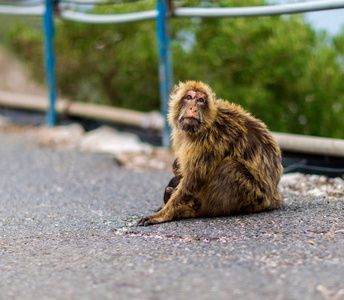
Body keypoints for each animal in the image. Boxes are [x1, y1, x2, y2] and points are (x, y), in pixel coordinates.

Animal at [138, 81, 284, 226]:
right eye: (189, 97)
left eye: (201, 100)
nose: (193, 108)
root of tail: (274, 198)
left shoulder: (210, 138)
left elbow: (193, 180)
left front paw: (163, 215)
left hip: (255, 197)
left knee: (231, 167)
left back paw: (193, 211)